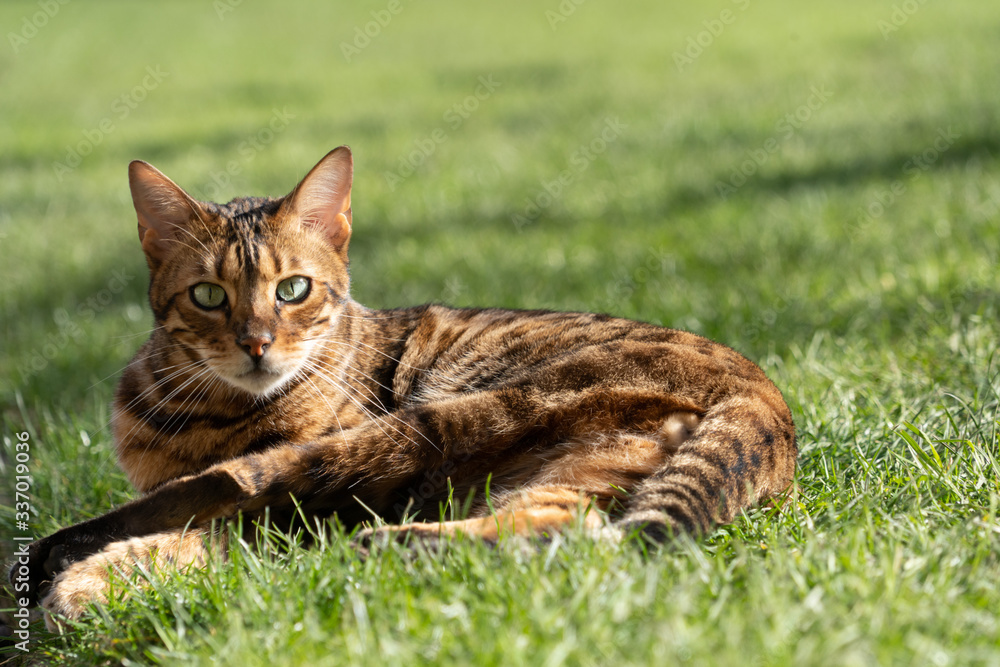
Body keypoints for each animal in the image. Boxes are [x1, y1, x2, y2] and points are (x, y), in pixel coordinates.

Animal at [9, 144, 796, 628]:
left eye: (292, 289)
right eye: (207, 295)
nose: (256, 343)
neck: (200, 408)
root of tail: (765, 393)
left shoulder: (274, 499)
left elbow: (190, 530)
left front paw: (84, 585)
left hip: (434, 421)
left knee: (232, 483)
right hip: (578, 463)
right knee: (563, 531)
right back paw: (395, 546)